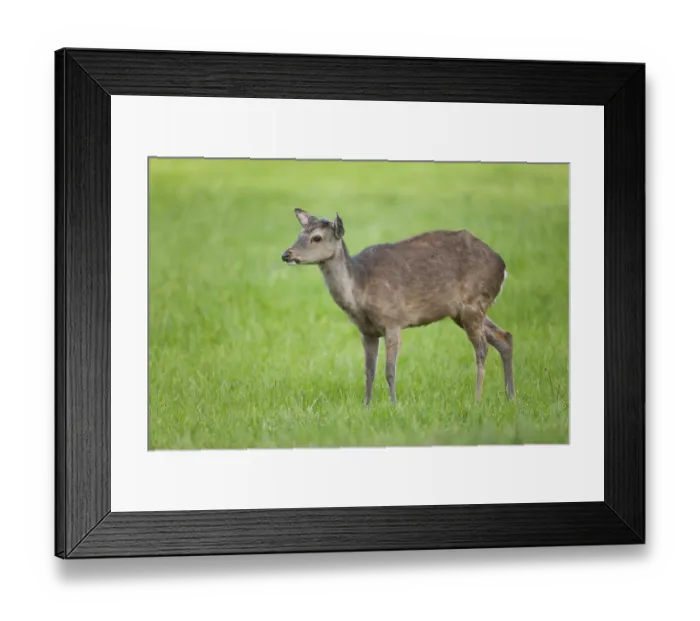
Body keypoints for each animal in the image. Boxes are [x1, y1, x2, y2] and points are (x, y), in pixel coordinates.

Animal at [281, 208, 515, 406]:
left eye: (316, 237)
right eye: (300, 233)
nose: (286, 254)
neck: (360, 288)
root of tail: (502, 266)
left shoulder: (393, 320)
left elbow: (389, 370)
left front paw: (394, 405)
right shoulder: (367, 331)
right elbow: (369, 370)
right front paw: (366, 406)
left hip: (474, 303)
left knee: (482, 348)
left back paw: (477, 399)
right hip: (463, 311)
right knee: (504, 337)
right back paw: (510, 396)